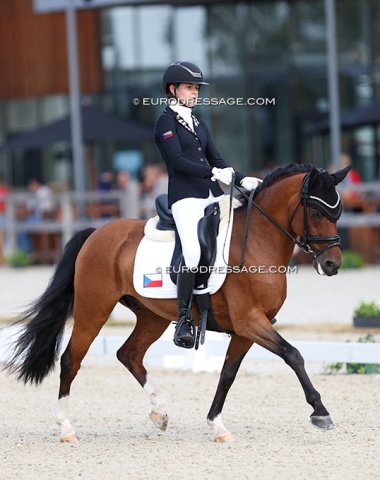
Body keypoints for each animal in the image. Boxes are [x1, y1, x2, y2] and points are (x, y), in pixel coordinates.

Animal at [4, 164, 352, 442]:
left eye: (338, 214)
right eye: (316, 213)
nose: (333, 264)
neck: (257, 240)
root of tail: (96, 233)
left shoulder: (246, 328)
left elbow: (228, 374)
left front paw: (217, 425)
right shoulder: (250, 321)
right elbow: (293, 355)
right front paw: (320, 412)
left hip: (152, 316)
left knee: (128, 354)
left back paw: (160, 411)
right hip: (93, 310)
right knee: (70, 361)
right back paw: (66, 428)